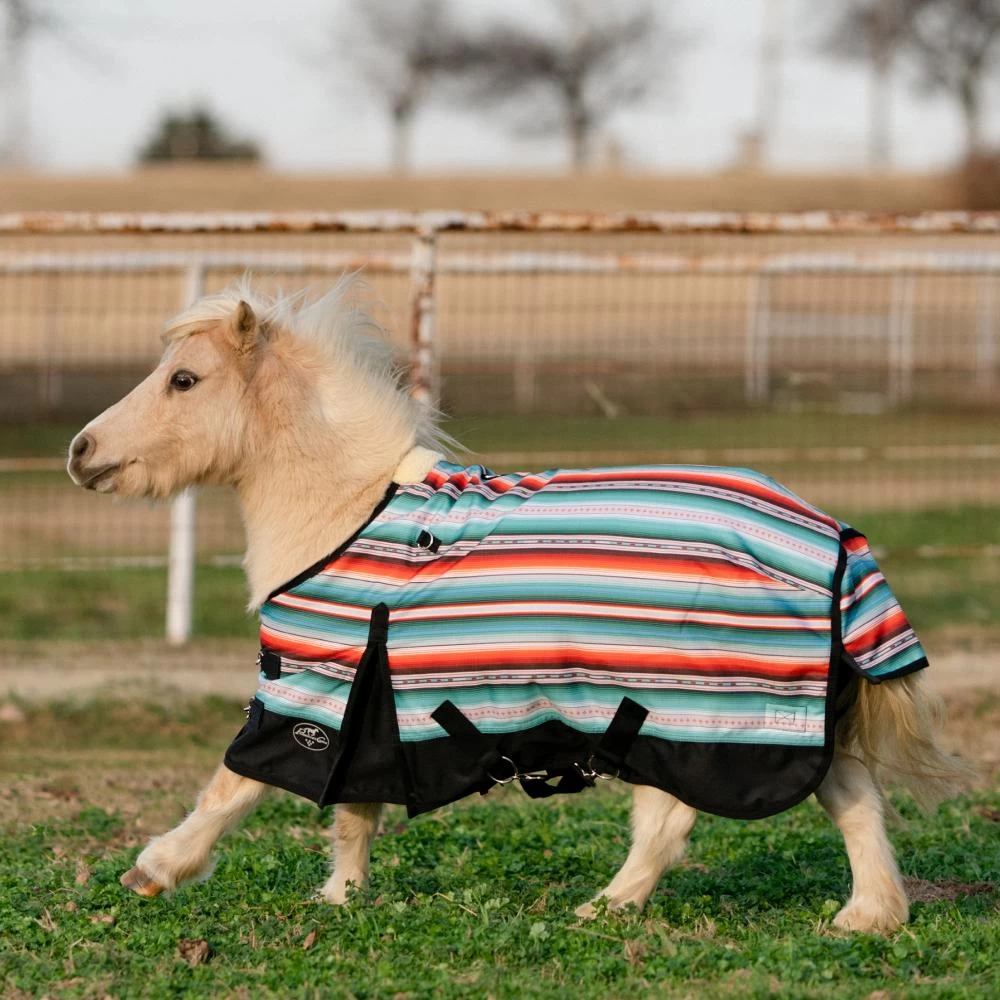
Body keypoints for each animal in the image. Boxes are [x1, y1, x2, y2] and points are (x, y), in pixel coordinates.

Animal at [67, 280, 969, 933]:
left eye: (185, 379)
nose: (80, 452)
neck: (349, 510)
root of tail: (833, 536)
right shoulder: (368, 699)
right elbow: (354, 810)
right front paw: (341, 898)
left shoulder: (313, 688)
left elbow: (234, 786)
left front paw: (155, 869)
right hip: (773, 723)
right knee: (854, 800)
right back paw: (867, 918)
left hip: (685, 717)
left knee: (672, 823)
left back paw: (600, 909)